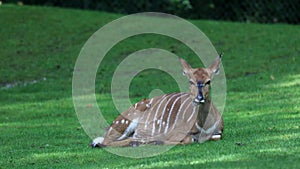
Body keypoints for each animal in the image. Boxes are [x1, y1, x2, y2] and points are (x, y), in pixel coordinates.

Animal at [91, 55, 223, 147]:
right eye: (190, 81)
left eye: (208, 81)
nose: (199, 98)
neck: (204, 128)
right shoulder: (177, 131)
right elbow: (188, 139)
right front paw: (158, 141)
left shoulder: (219, 132)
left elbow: (216, 137)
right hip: (125, 121)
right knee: (107, 141)